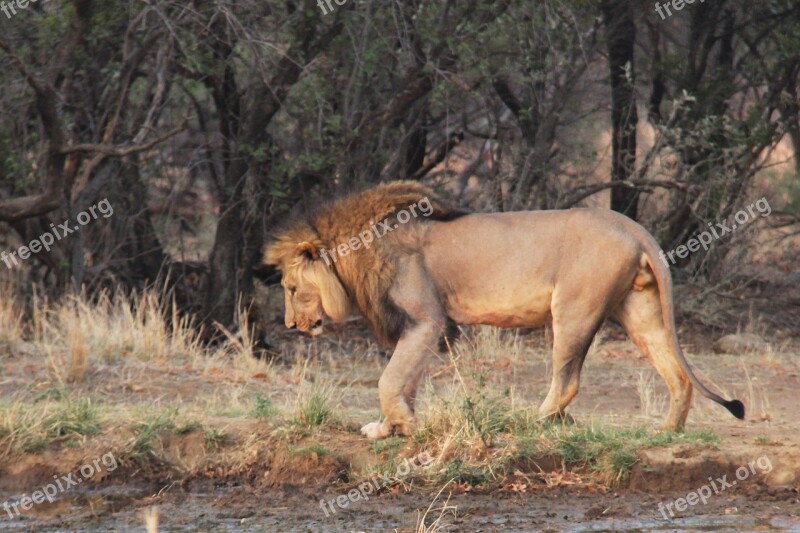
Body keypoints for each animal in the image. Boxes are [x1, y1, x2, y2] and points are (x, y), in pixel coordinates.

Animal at [264, 181, 744, 438]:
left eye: (291, 287)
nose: (289, 323)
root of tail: (630, 225)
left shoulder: (426, 319)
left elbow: (389, 380)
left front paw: (404, 425)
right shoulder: (421, 327)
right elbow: (404, 381)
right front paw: (388, 429)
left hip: (573, 310)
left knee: (567, 381)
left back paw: (531, 422)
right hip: (640, 310)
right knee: (678, 374)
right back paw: (667, 431)